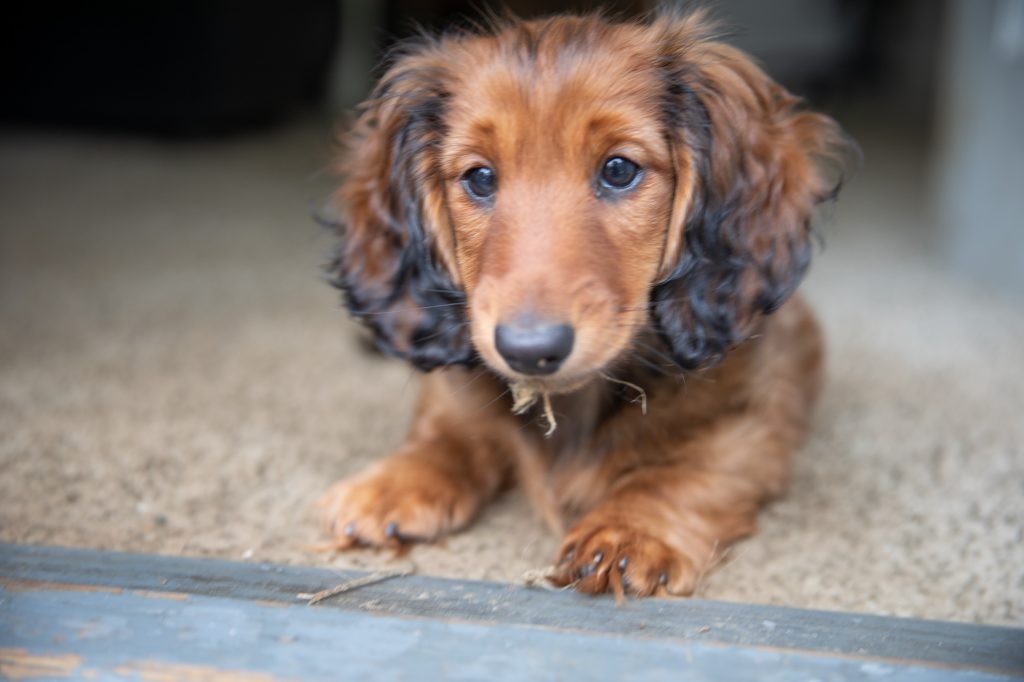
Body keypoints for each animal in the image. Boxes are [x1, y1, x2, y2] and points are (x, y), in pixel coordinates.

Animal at [319, 9, 847, 593]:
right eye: (479, 177)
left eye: (619, 169)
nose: (529, 350)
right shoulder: (457, 390)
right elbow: (449, 433)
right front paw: (394, 481)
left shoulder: (753, 423)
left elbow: (684, 473)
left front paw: (629, 530)